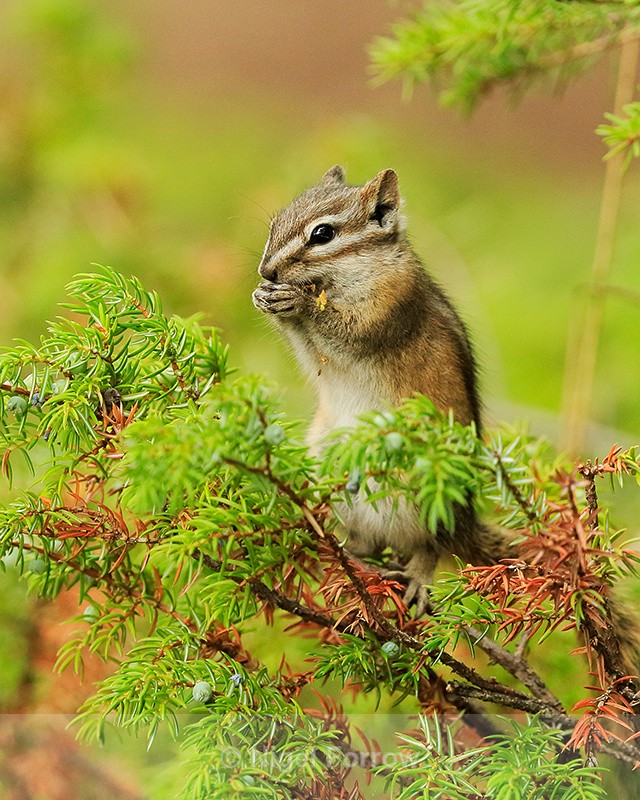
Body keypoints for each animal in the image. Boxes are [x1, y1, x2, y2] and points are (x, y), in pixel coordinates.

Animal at [252, 165, 510, 612]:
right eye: (275, 223)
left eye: (323, 234)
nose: (266, 273)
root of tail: (465, 522)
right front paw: (264, 298)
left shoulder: (387, 306)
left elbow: (348, 332)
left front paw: (297, 301)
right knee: (366, 542)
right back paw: (344, 553)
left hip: (425, 498)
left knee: (431, 546)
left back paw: (416, 581)